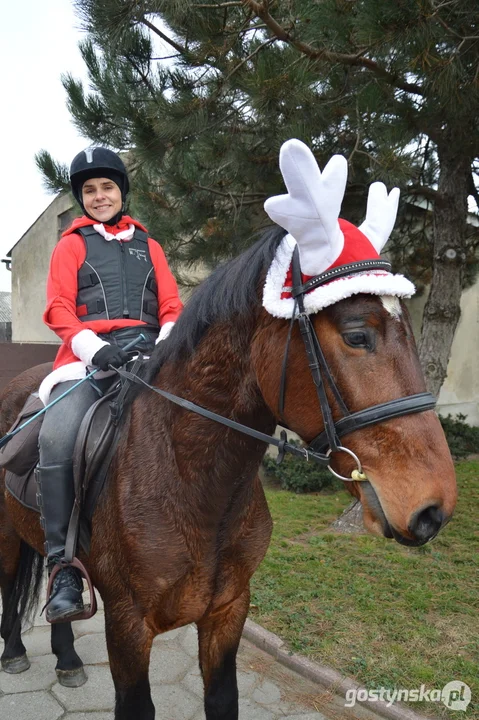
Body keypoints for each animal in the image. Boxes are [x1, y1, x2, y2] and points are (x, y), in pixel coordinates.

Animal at [0, 226, 458, 720]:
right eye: (357, 335)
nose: (433, 510)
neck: (193, 480)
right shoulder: (127, 622)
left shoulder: (228, 609)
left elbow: (223, 698)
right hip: (7, 534)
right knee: (11, 585)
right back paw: (15, 652)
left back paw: (67, 658)